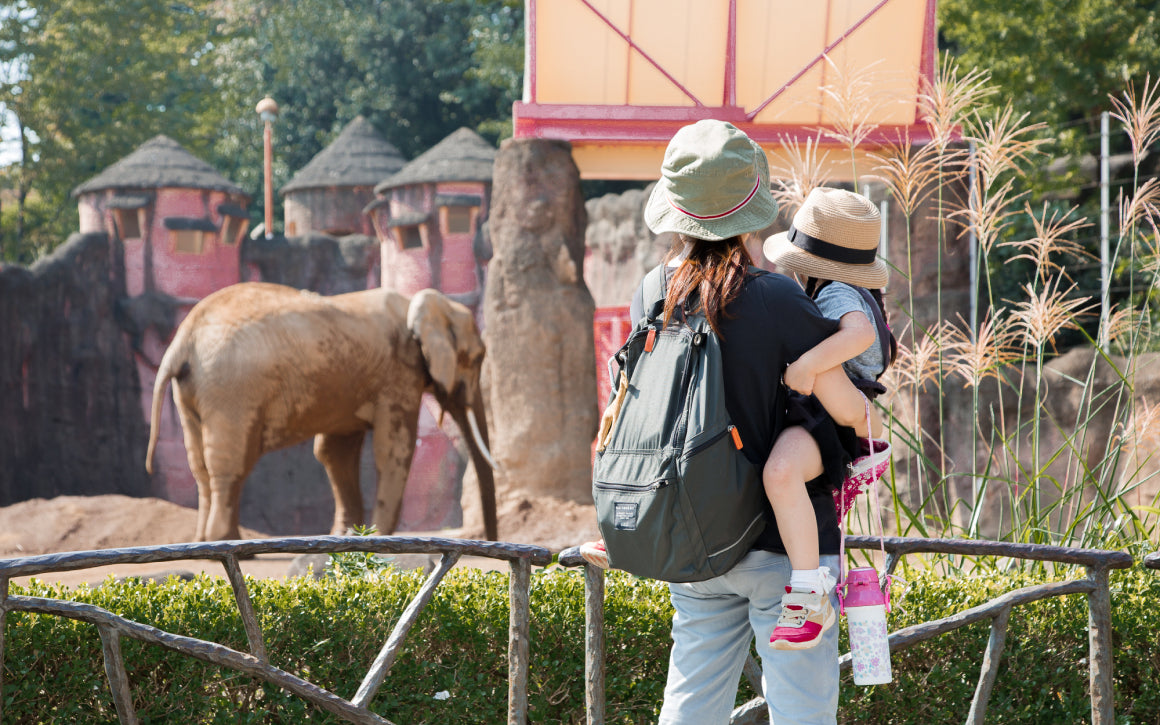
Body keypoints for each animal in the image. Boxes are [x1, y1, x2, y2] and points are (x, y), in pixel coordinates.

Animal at [142, 279, 496, 540]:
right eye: (478, 357)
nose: (492, 542)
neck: (421, 304)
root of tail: (183, 340)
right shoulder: (399, 374)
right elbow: (394, 449)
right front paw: (378, 537)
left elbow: (334, 452)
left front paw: (348, 536)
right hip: (230, 387)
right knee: (231, 462)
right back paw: (227, 543)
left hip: (195, 389)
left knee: (200, 464)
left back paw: (203, 542)